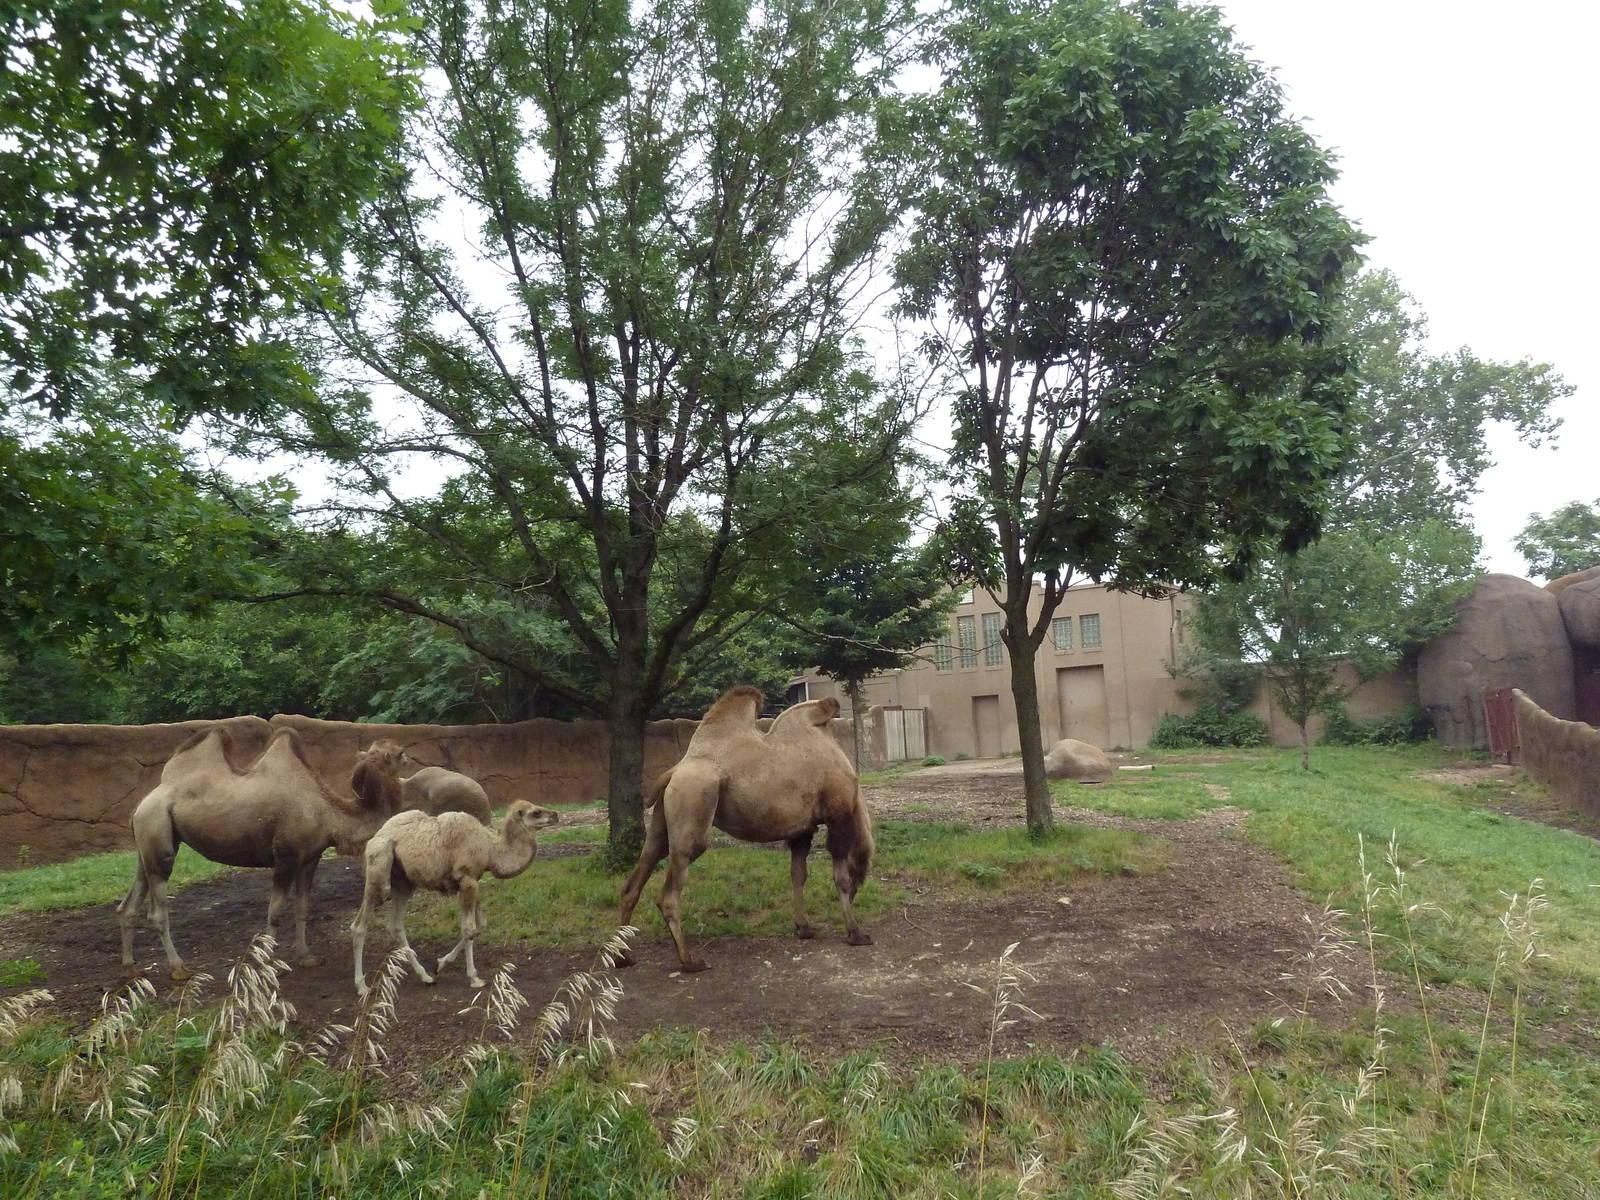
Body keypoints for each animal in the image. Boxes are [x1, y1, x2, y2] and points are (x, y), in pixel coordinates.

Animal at [118, 732, 407, 980]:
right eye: (398, 753)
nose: (409, 758)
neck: (327, 814)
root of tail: (142, 803)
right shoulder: (286, 857)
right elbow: (276, 911)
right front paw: (269, 962)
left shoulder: (309, 858)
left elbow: (303, 908)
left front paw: (307, 956)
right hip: (157, 832)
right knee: (157, 911)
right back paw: (178, 968)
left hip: (151, 844)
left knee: (130, 901)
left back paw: (130, 967)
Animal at [351, 800, 559, 995]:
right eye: (536, 812)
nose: (556, 815)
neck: (490, 849)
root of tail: (377, 835)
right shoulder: (467, 880)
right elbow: (469, 928)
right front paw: (474, 978)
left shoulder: (473, 881)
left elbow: (480, 925)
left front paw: (440, 963)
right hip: (378, 871)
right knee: (360, 925)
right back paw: (362, 987)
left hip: (404, 883)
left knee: (395, 924)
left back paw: (425, 976)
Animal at [617, 686, 875, 972]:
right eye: (862, 870)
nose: (860, 889)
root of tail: (673, 772)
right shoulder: (837, 814)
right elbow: (840, 878)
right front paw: (856, 933)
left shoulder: (802, 830)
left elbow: (798, 875)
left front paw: (804, 927)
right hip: (694, 801)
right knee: (670, 892)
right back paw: (690, 961)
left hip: (662, 823)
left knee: (637, 876)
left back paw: (623, 957)